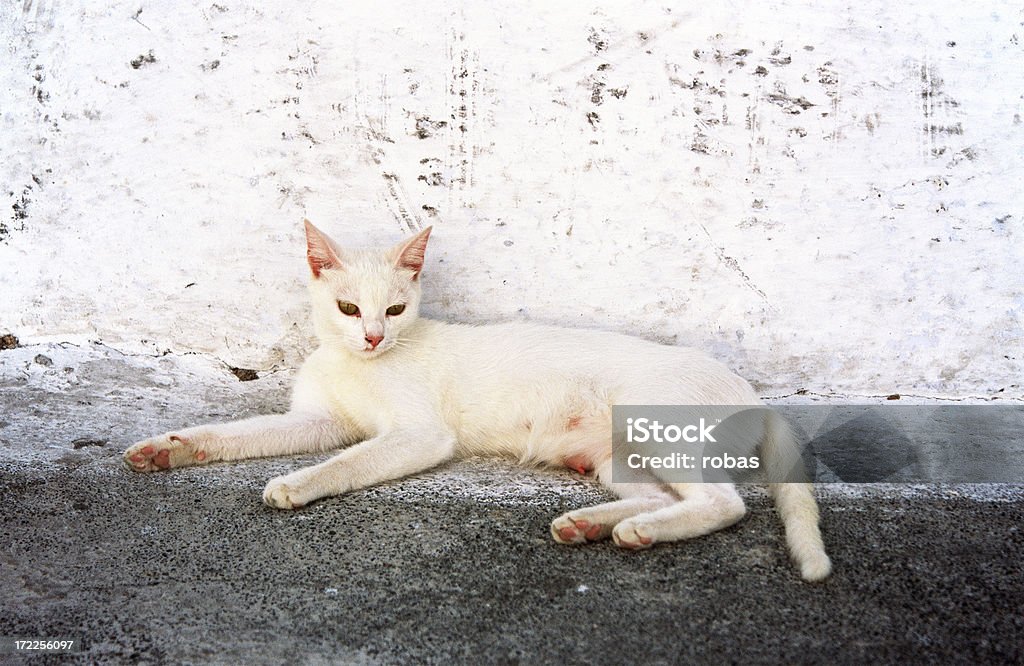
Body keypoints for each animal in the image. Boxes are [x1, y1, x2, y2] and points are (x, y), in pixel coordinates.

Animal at [125, 220, 831, 577]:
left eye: (396, 309)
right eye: (349, 309)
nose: (374, 336)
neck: (358, 363)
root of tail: (754, 394)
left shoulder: (418, 435)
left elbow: (347, 461)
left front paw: (298, 483)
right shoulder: (319, 420)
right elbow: (240, 433)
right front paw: (167, 450)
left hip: (656, 429)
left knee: (725, 503)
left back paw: (634, 532)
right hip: (615, 456)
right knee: (663, 497)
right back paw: (594, 525)